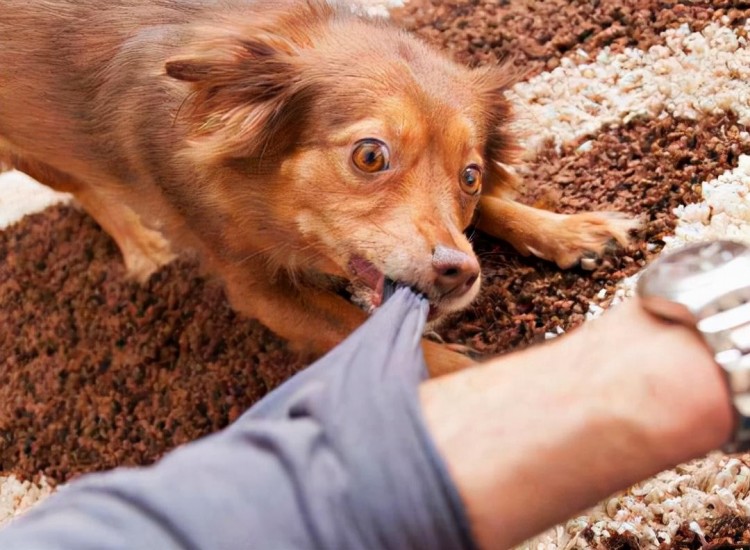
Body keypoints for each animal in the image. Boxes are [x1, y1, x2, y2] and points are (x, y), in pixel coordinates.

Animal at [0, 0, 636, 376]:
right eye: (370, 155)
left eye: (471, 176)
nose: (460, 273)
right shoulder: (260, 292)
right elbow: (374, 334)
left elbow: (495, 214)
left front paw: (568, 231)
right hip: (29, 149)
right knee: (85, 189)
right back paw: (139, 243)